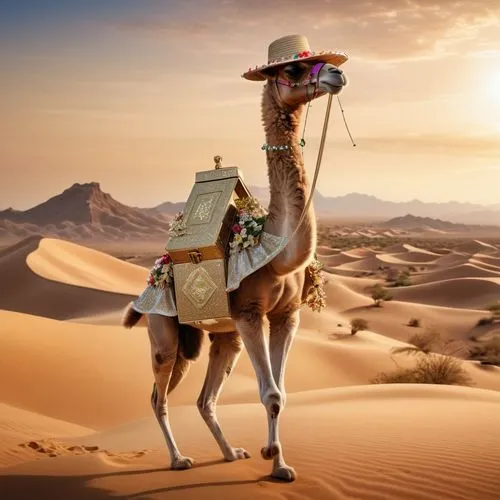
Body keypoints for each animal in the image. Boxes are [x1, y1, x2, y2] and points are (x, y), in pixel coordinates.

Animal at [122, 35, 346, 480]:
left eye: (318, 61)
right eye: (292, 69)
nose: (336, 73)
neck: (274, 249)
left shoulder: (285, 315)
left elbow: (281, 392)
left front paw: (280, 466)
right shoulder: (248, 312)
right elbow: (271, 393)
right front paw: (271, 454)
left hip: (221, 337)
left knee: (203, 398)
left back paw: (229, 453)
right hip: (164, 331)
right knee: (158, 395)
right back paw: (178, 460)